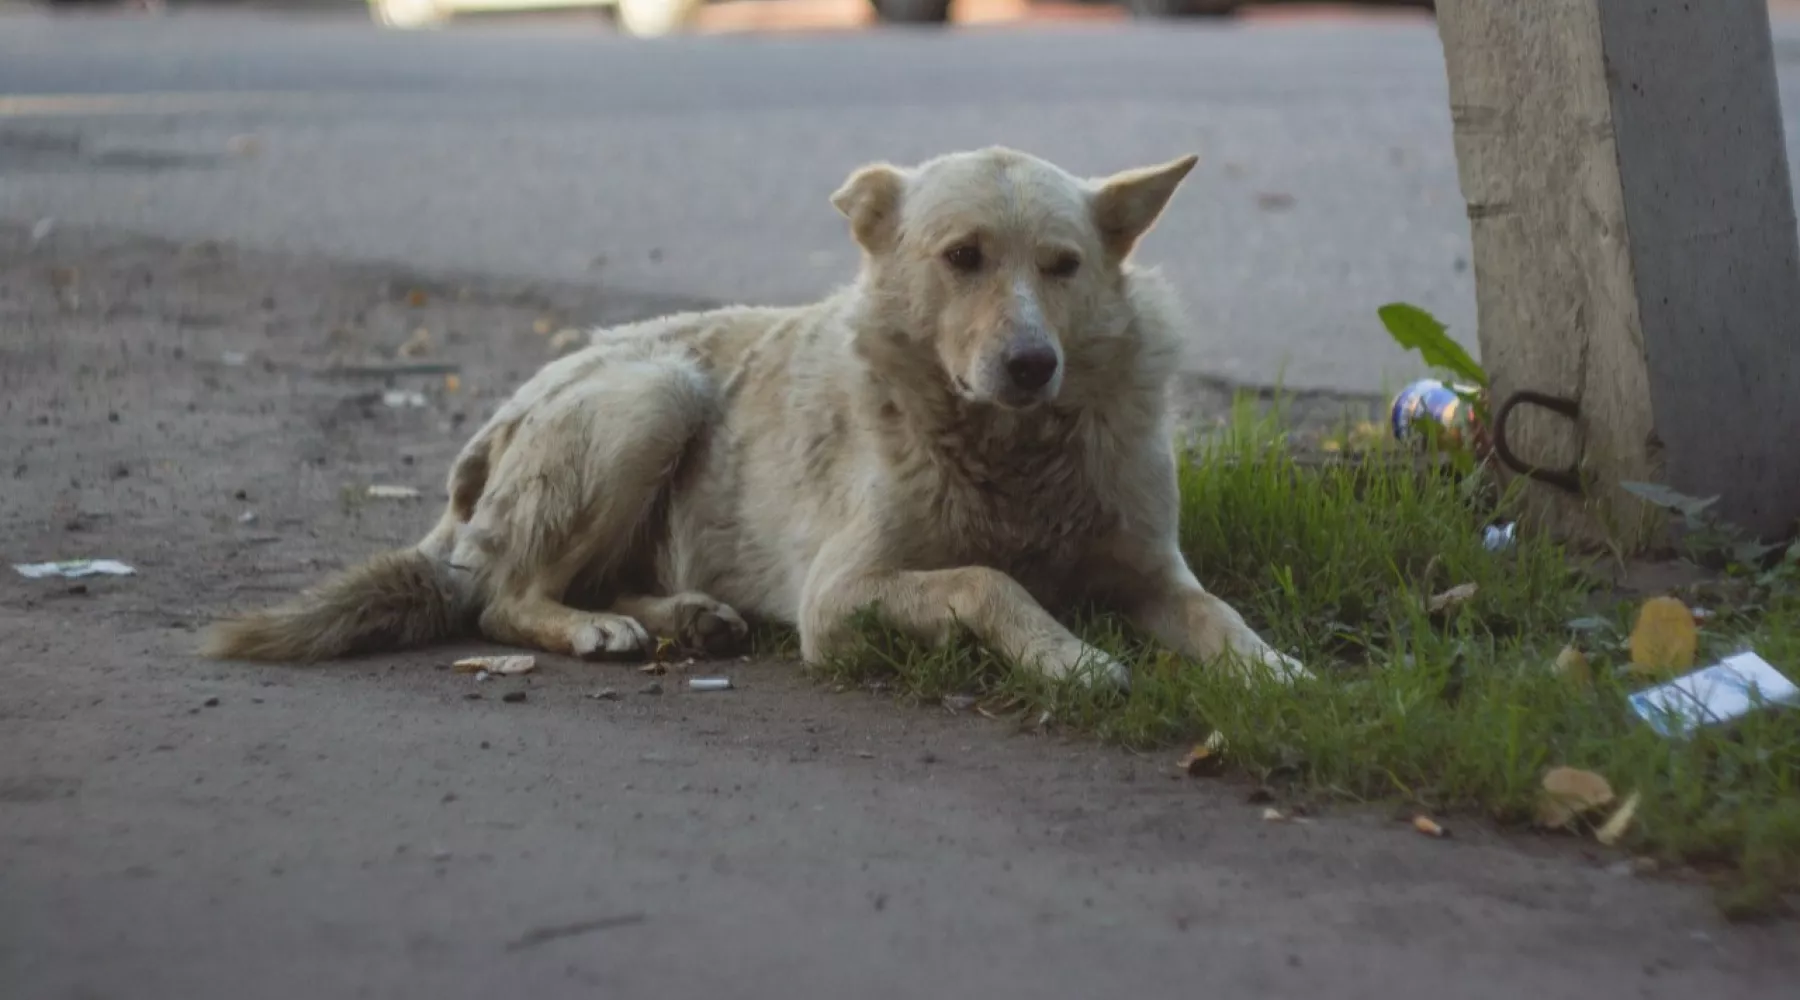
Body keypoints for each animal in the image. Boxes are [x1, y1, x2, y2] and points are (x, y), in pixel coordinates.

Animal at [204, 144, 1310, 687]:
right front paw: (1071, 656)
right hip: (652, 399)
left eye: (1063, 265)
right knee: (503, 598)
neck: (1012, 451)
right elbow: (988, 581)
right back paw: (597, 628)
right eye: (962, 257)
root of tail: (513, 405)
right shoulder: (841, 598)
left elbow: (1219, 615)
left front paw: (1278, 673)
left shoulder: (1154, 573)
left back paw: (684, 616)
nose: (1033, 364)